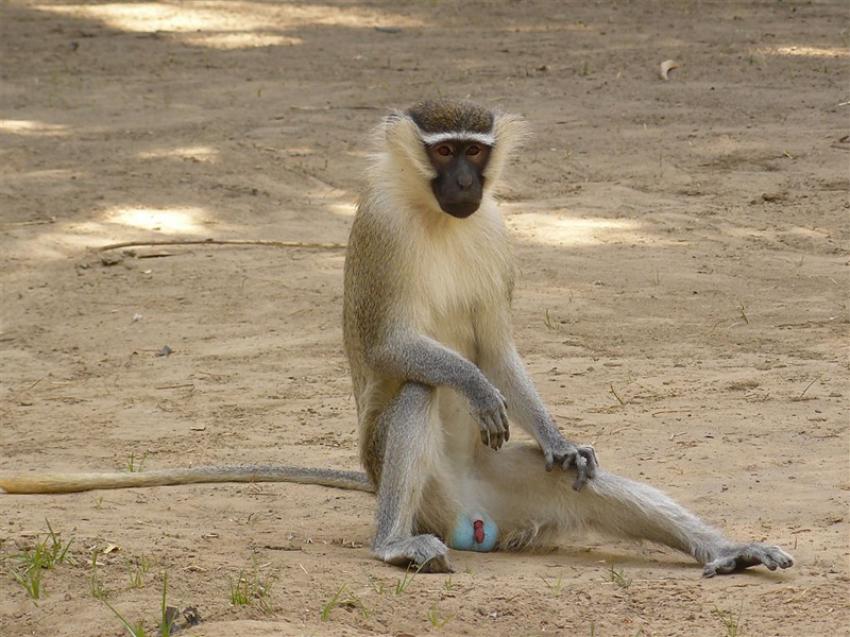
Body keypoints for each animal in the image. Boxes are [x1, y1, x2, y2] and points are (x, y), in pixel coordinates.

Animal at [0, 100, 794, 579]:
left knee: (585, 482)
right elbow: (395, 351)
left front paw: (560, 434)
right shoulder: (380, 225)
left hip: (512, 488)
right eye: (443, 153)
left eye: (475, 150)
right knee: (416, 387)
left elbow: (499, 346)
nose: (468, 181)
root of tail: (474, 519)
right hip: (418, 489)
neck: (437, 216)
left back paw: (726, 549)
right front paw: (475, 389)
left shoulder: (494, 227)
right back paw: (391, 544)